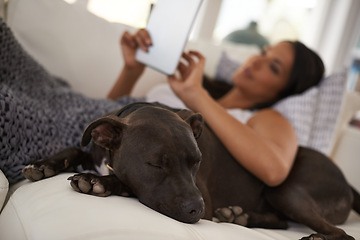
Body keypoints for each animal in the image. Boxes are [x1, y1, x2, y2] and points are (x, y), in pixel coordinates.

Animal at [23, 102, 360, 239]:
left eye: (197, 161)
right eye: (155, 164)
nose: (197, 211)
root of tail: (348, 182)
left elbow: (126, 182)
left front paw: (99, 181)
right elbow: (74, 150)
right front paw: (43, 164)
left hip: (285, 188)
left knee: (341, 233)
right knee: (281, 221)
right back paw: (239, 217)